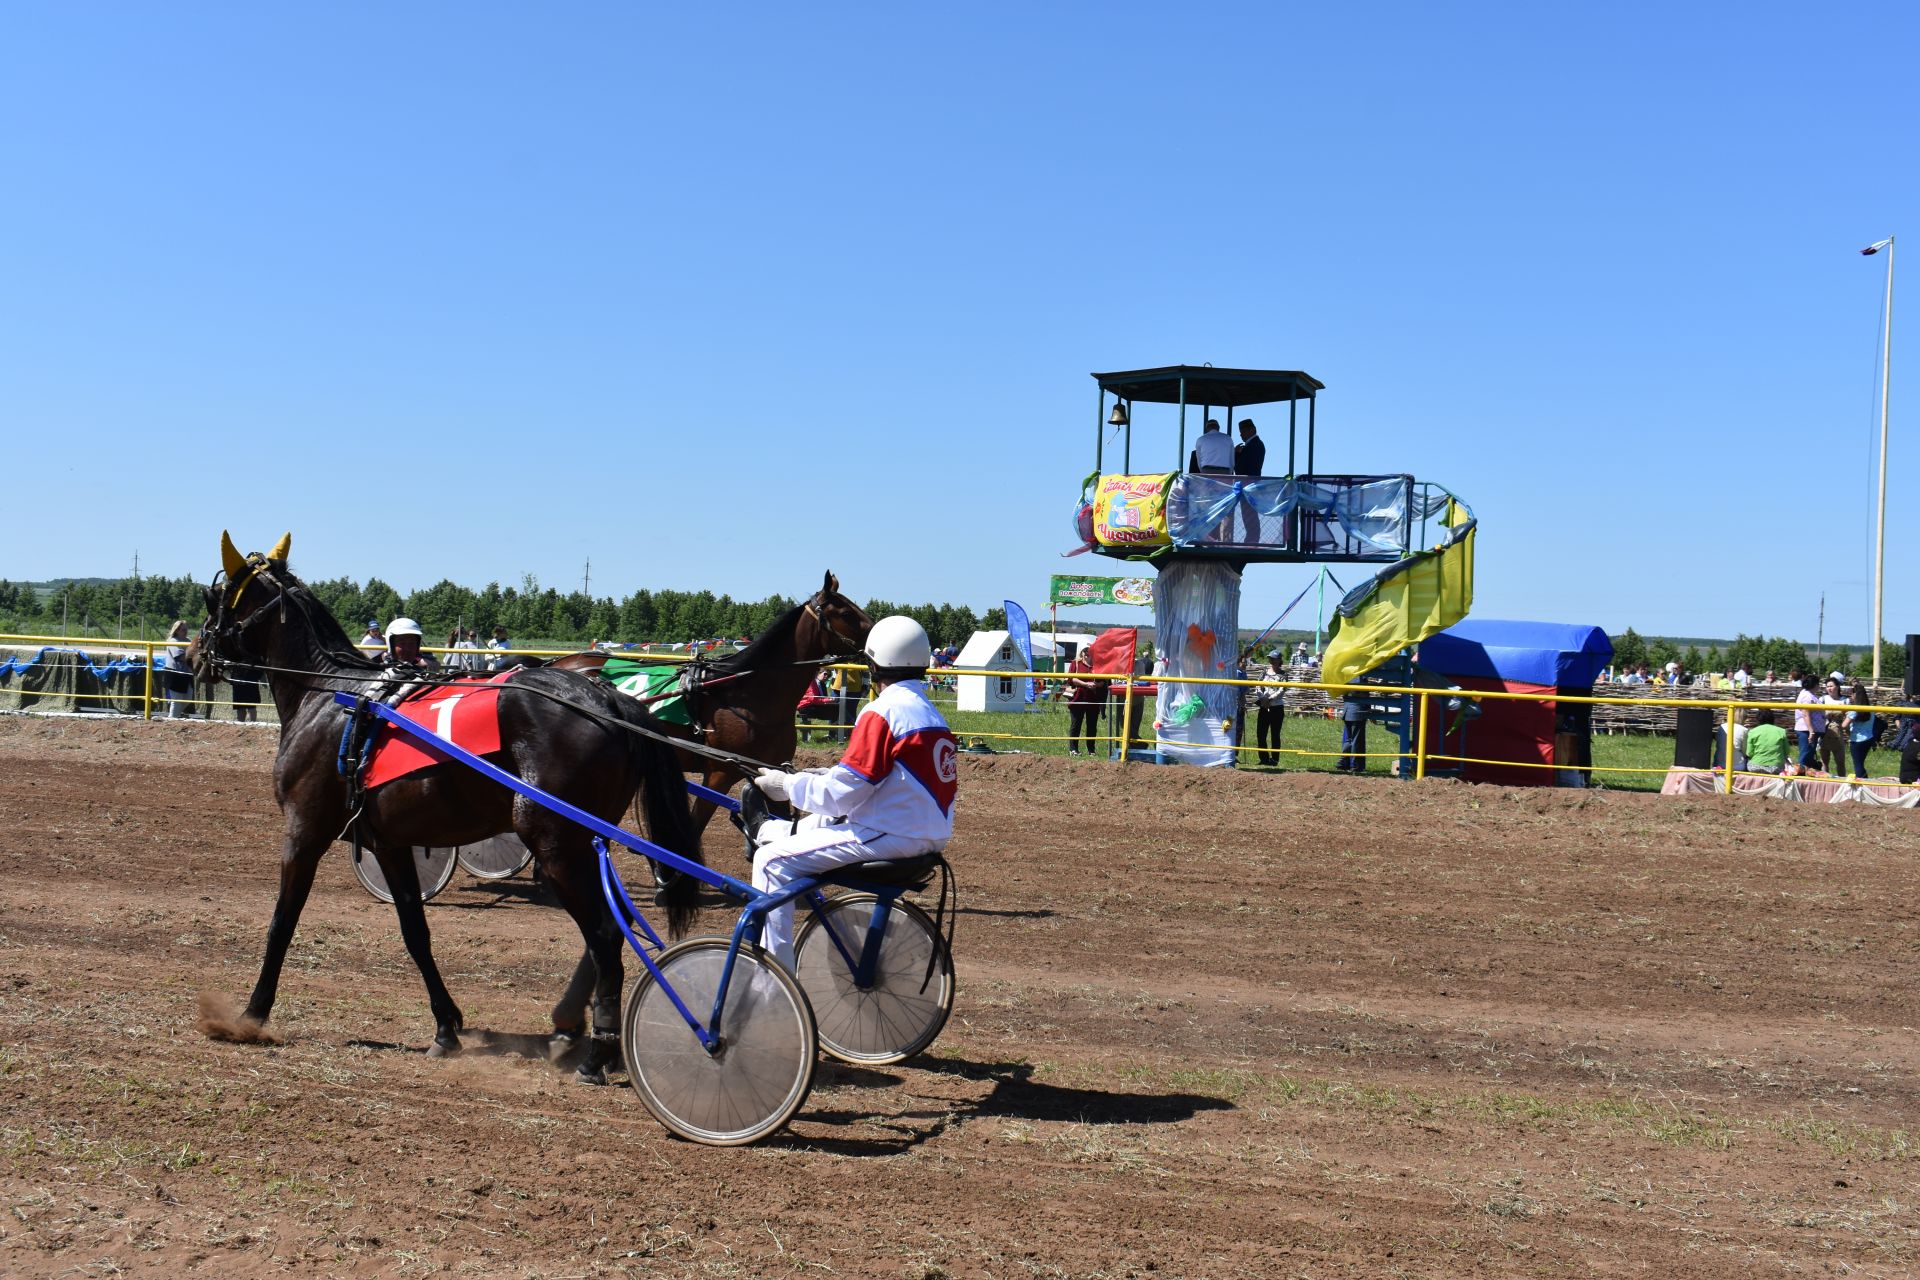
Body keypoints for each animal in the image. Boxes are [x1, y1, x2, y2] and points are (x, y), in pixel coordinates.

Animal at [196, 529, 706, 1082]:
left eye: (213, 597)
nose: (199, 653)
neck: (334, 695)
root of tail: (607, 699)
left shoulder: (303, 832)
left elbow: (281, 923)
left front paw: (250, 1016)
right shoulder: (389, 844)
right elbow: (415, 932)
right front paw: (445, 1027)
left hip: (555, 842)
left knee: (606, 936)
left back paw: (597, 1053)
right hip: (588, 842)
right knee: (610, 932)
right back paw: (575, 1029)